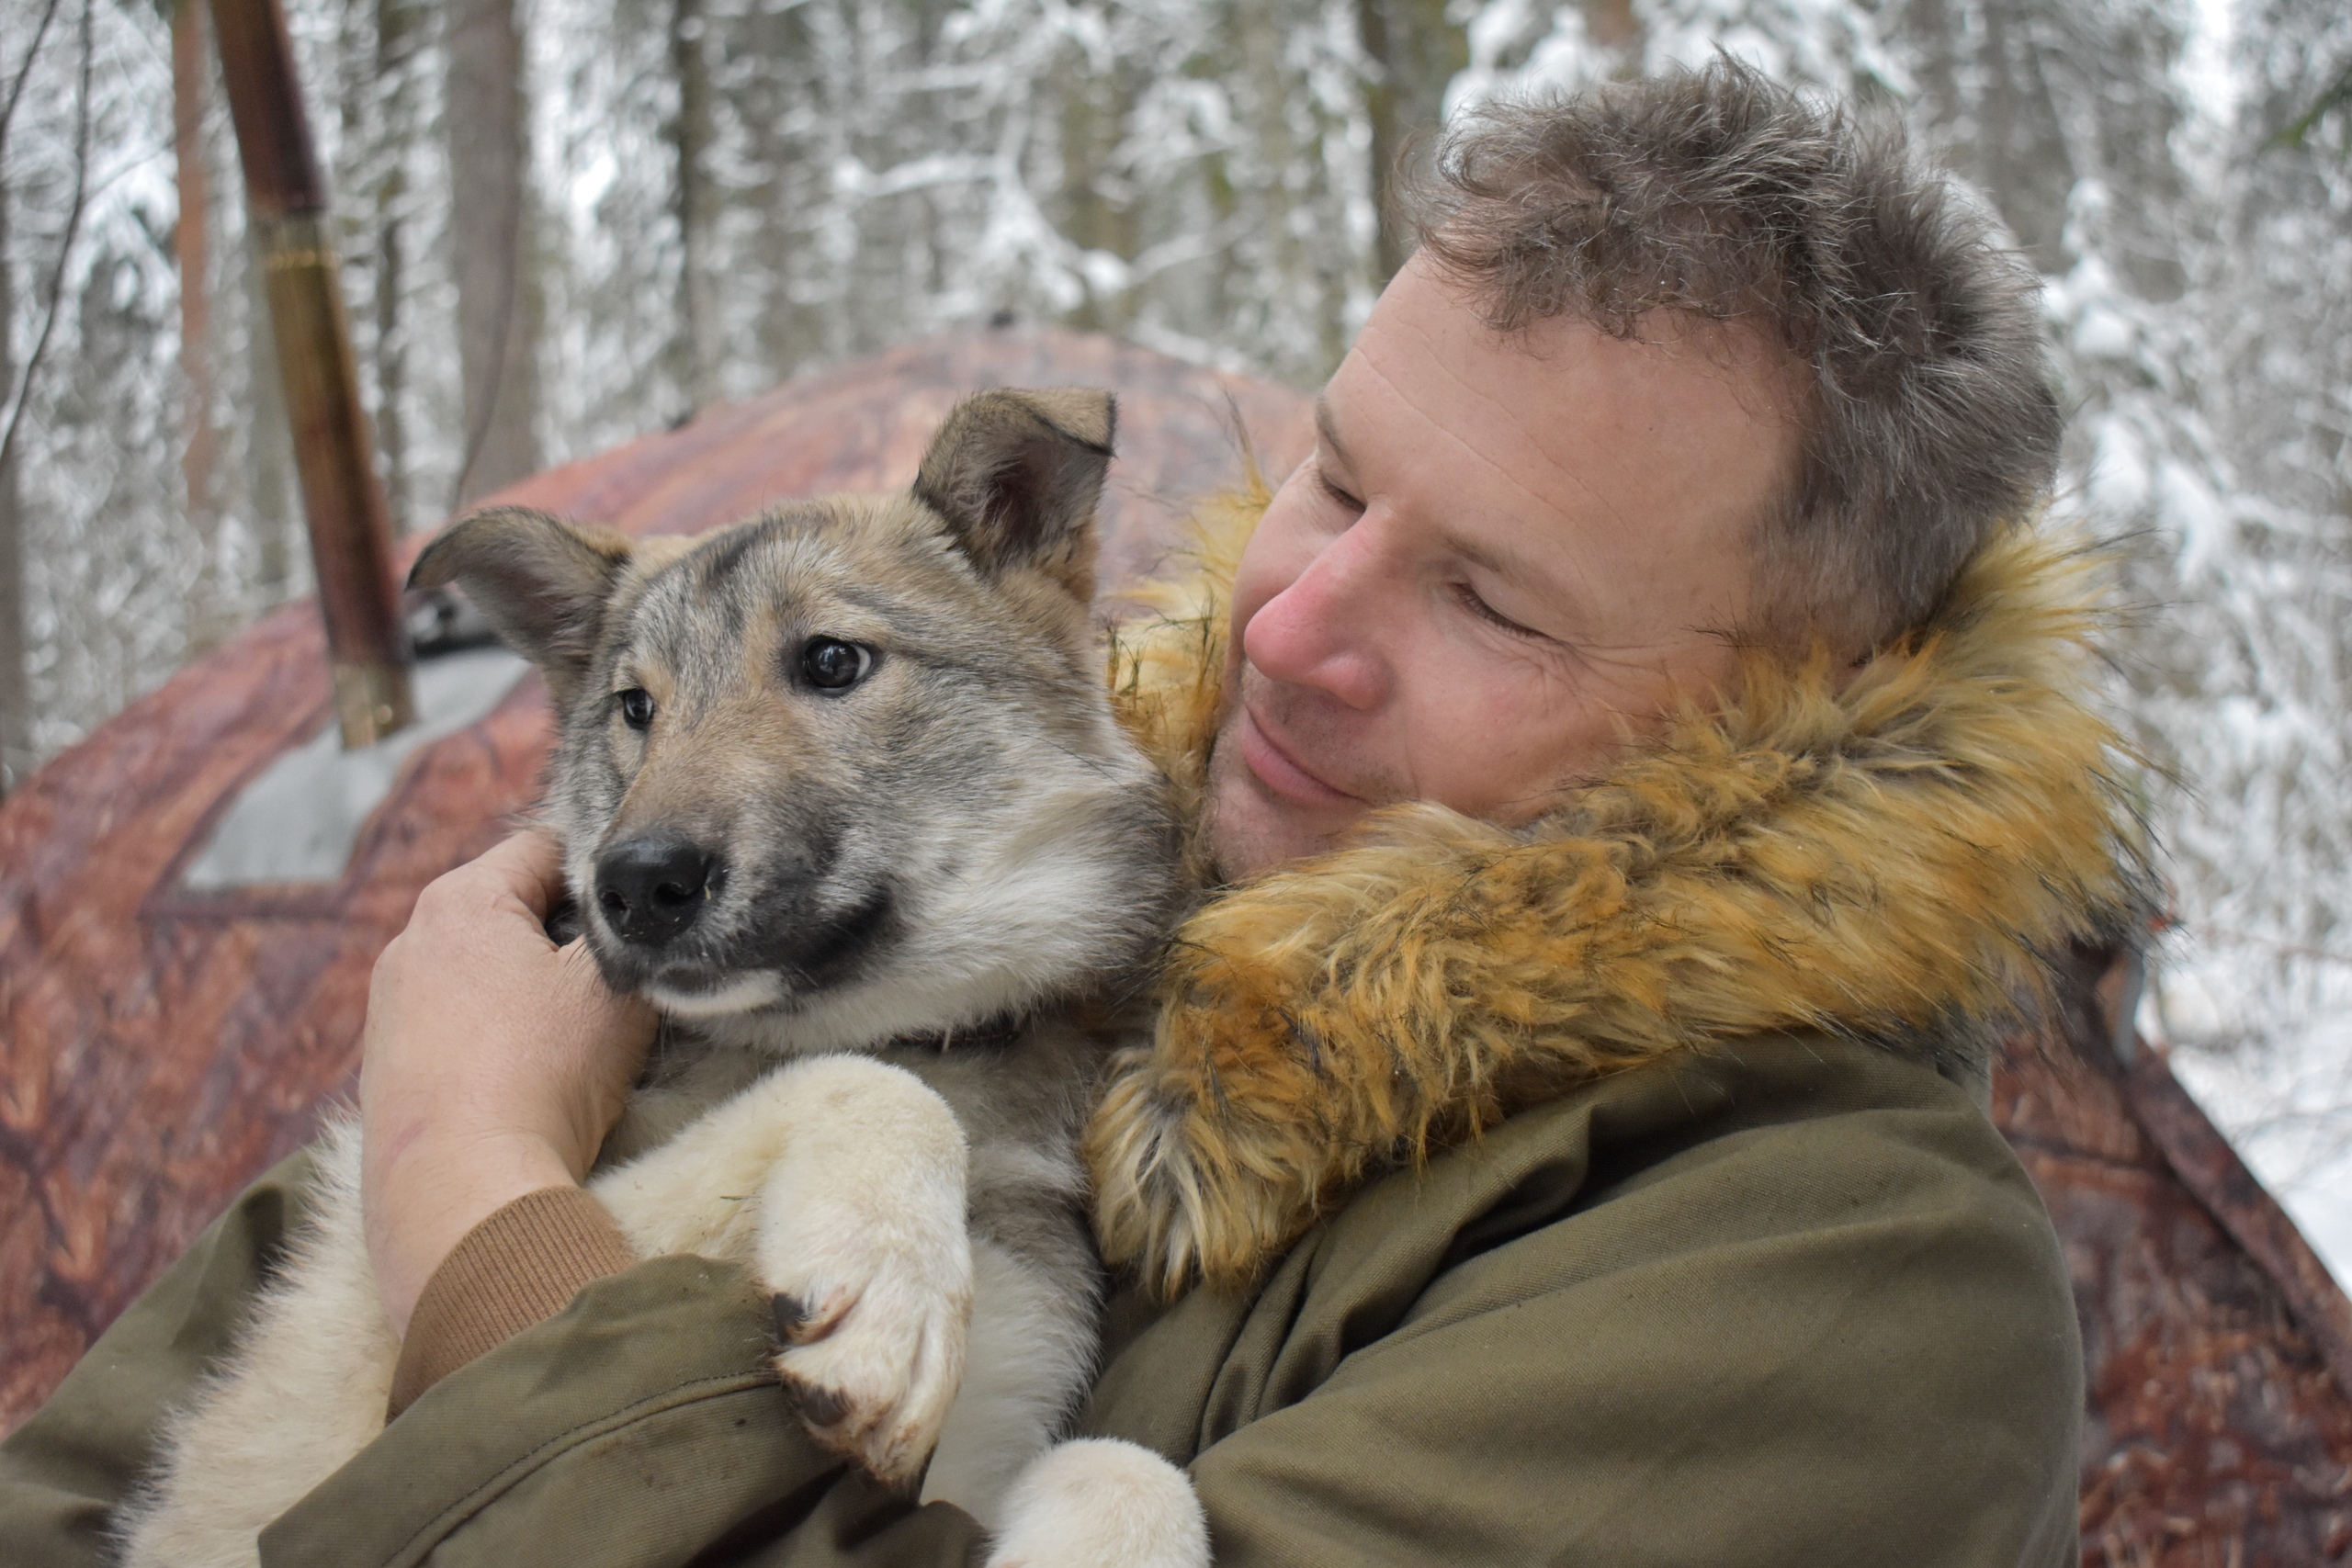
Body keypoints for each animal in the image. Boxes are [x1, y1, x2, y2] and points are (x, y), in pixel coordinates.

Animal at [110, 389, 1213, 1568]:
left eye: (832, 662)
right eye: (635, 708)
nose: (633, 884)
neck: (904, 1026)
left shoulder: (982, 1444)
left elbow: (1131, 1468)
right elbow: (875, 1089)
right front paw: (892, 1282)